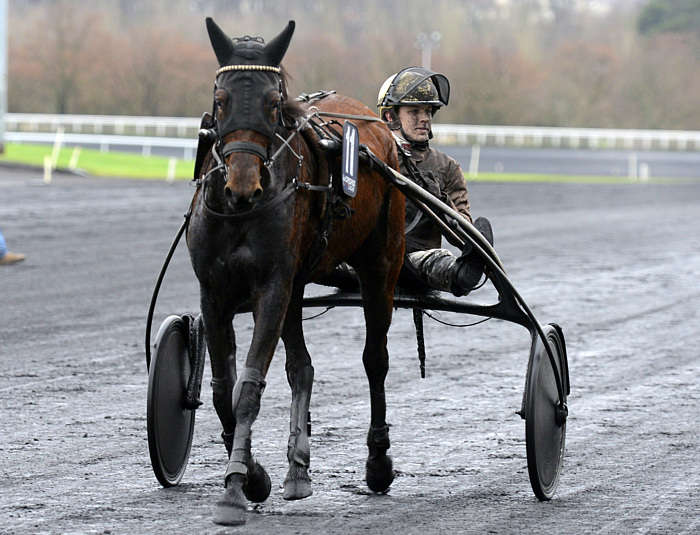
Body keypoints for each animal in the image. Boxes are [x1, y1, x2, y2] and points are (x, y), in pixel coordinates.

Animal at [186, 18, 405, 525]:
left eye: (272, 102)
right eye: (220, 99)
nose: (242, 185)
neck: (241, 213)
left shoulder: (272, 287)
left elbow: (248, 386)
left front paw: (235, 490)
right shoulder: (215, 290)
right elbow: (223, 388)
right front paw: (256, 475)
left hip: (381, 265)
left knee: (375, 359)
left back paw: (377, 462)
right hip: (299, 283)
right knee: (301, 367)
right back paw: (298, 470)